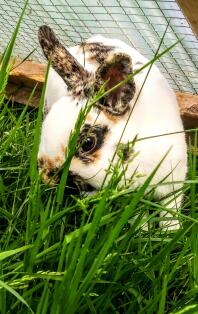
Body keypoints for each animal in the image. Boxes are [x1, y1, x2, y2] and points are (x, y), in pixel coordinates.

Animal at [37, 25, 187, 231]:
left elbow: (170, 213)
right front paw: (142, 231)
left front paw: (169, 234)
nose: (46, 177)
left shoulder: (173, 185)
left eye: (87, 143)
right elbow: (138, 217)